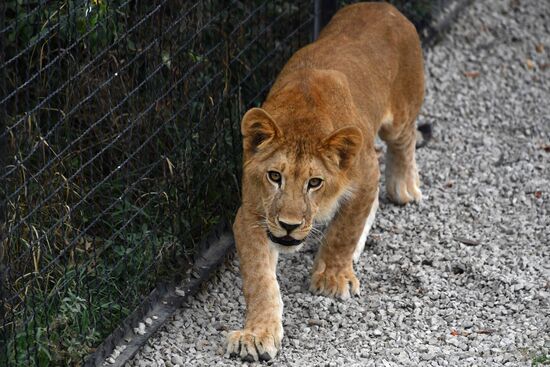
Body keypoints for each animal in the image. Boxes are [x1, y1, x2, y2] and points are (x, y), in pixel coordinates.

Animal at [226, 2, 424, 362]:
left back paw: (403, 187)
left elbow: (344, 230)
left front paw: (332, 277)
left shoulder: (365, 173)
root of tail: (383, 6)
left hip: (400, 114)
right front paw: (257, 334)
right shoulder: (251, 215)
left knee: (404, 140)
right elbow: (260, 279)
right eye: (274, 176)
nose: (289, 226)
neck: (303, 117)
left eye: (314, 182)